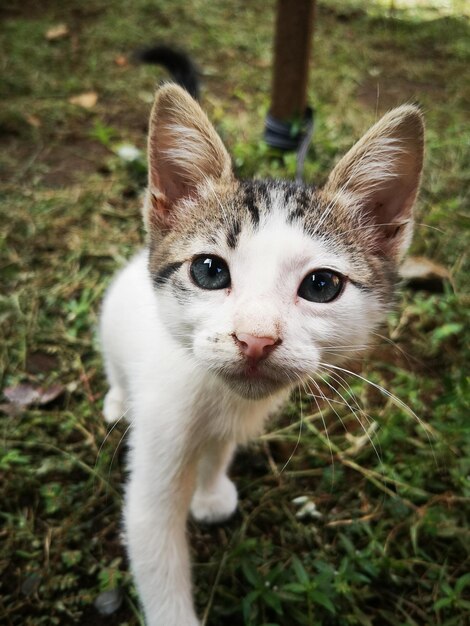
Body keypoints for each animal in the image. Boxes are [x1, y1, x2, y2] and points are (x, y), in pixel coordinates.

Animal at [100, 84, 426, 624]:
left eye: (321, 285)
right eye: (209, 270)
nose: (256, 338)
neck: (218, 398)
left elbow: (218, 451)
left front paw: (210, 492)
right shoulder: (160, 447)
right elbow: (154, 542)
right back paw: (117, 399)